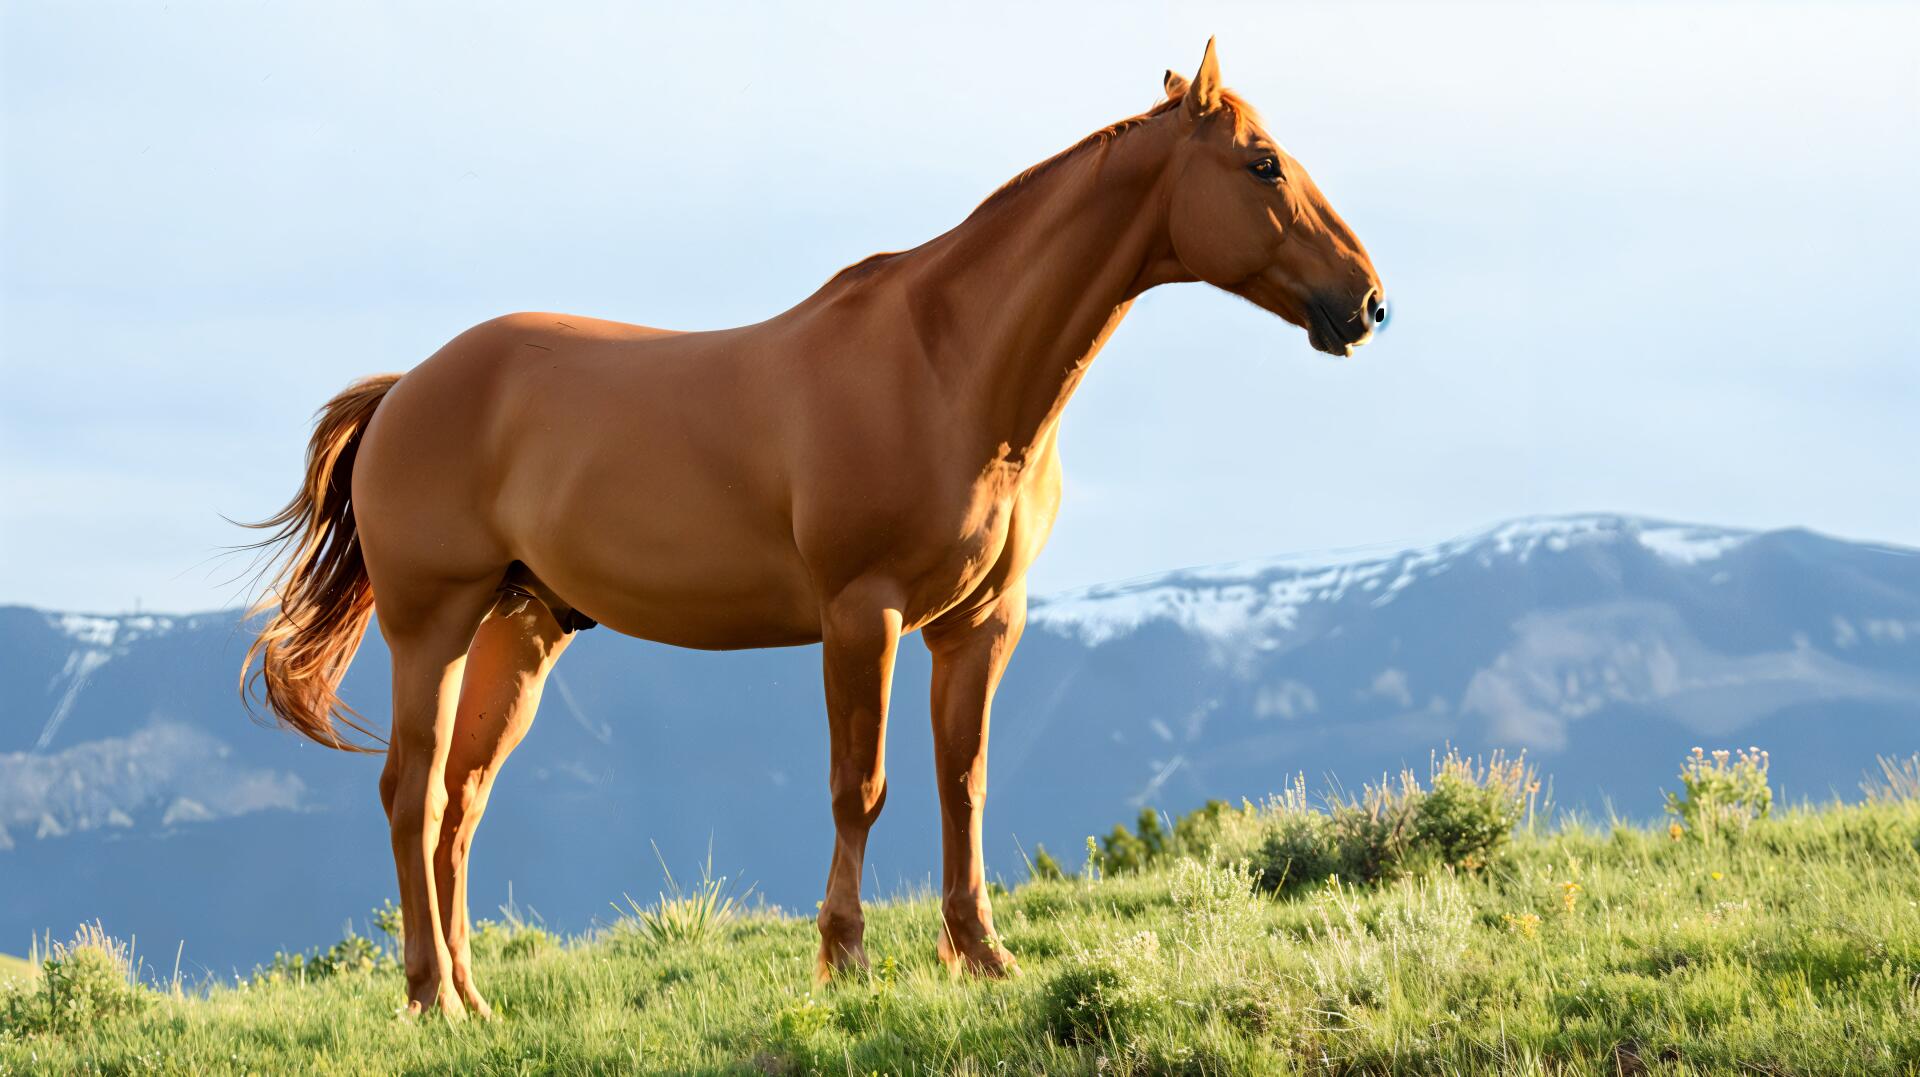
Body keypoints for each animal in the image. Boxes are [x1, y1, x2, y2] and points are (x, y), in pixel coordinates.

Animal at [242, 39, 1385, 1018]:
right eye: (1263, 164)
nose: (1367, 303)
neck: (948, 368)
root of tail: (405, 390)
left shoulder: (981, 623)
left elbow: (963, 784)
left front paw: (982, 956)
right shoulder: (860, 615)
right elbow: (860, 787)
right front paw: (846, 960)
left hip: (520, 628)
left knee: (461, 802)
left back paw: (476, 1001)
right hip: (432, 623)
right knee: (411, 793)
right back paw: (431, 998)